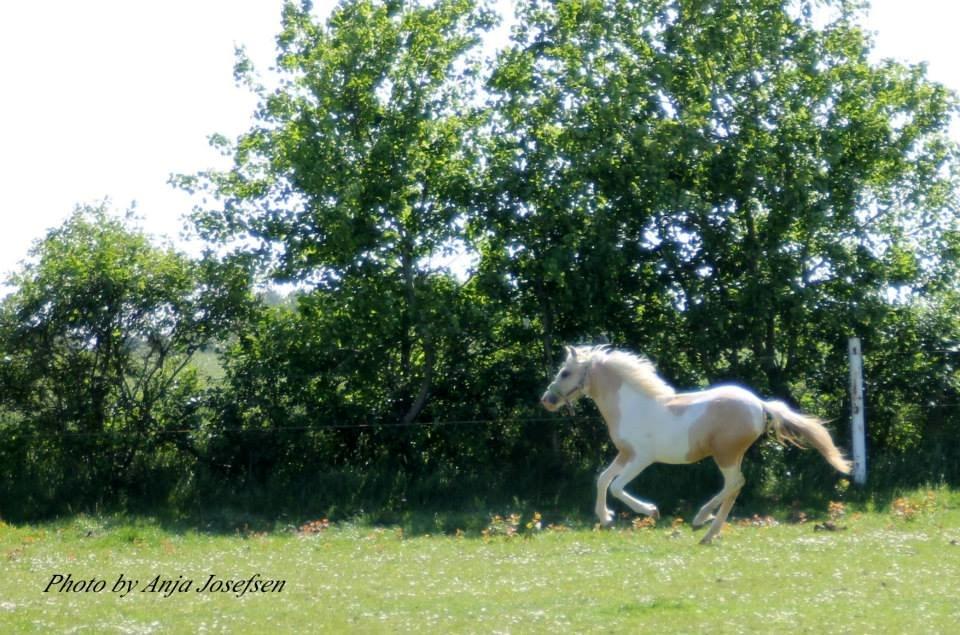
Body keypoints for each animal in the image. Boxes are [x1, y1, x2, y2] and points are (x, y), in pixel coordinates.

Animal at [544, 346, 852, 544]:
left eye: (565, 372)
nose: (546, 400)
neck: (632, 406)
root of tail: (759, 404)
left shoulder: (641, 458)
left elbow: (617, 487)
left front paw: (650, 511)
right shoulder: (624, 454)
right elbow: (602, 479)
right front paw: (606, 519)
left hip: (726, 454)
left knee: (734, 483)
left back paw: (702, 522)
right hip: (730, 455)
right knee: (734, 487)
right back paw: (706, 529)